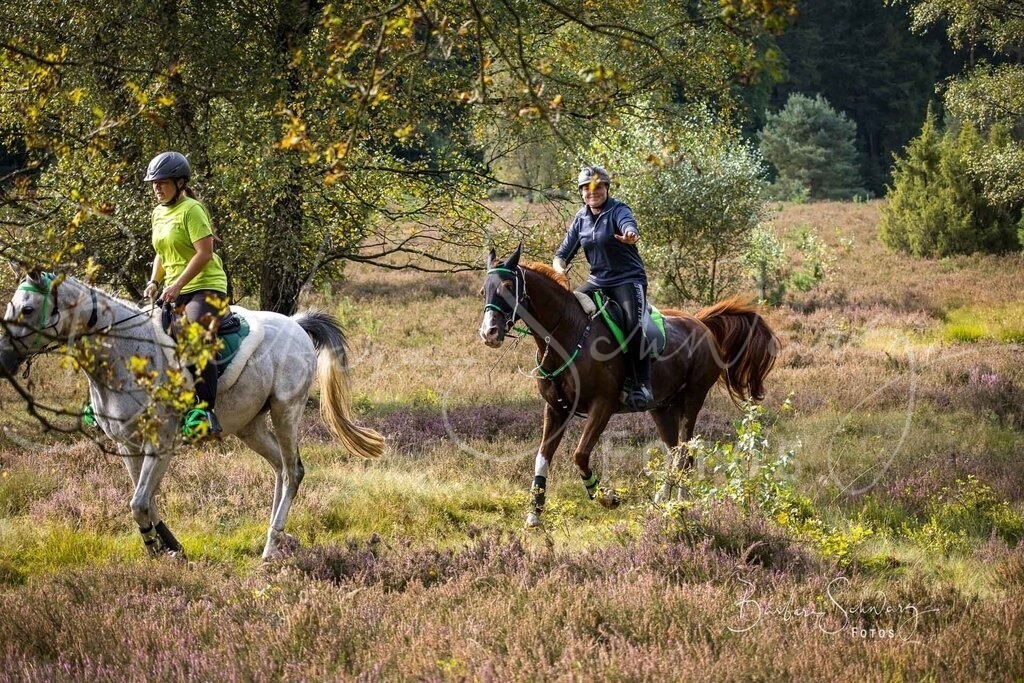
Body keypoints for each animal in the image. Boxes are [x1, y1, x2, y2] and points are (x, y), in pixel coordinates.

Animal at [0, 271, 384, 559]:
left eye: (28, 309)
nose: (4, 359)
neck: (123, 356)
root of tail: (296, 324)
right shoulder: (127, 444)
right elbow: (146, 500)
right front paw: (172, 548)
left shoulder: (161, 443)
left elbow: (139, 502)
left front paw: (158, 550)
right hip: (250, 425)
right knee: (279, 469)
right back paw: (274, 538)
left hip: (285, 410)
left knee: (293, 471)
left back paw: (270, 548)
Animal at [478, 245, 780, 527]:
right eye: (484, 291)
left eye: (508, 288)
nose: (489, 333)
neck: (567, 335)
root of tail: (701, 323)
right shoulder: (555, 409)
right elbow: (542, 458)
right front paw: (534, 514)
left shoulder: (602, 406)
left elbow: (579, 454)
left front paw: (605, 497)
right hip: (662, 408)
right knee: (675, 453)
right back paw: (663, 503)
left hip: (692, 400)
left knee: (685, 454)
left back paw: (680, 505)